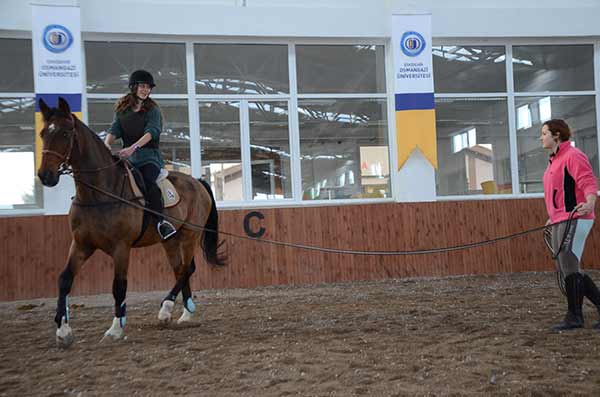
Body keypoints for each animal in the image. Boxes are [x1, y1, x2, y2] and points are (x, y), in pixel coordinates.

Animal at [37, 97, 226, 348]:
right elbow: (65, 279)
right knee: (180, 269)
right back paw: (184, 314)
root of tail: (197, 181)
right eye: (42, 134)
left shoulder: (121, 247)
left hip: (189, 234)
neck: (99, 193)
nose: (46, 176)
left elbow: (119, 285)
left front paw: (115, 329)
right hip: (170, 239)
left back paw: (166, 310)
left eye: (66, 133)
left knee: (187, 268)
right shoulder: (81, 244)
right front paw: (63, 331)